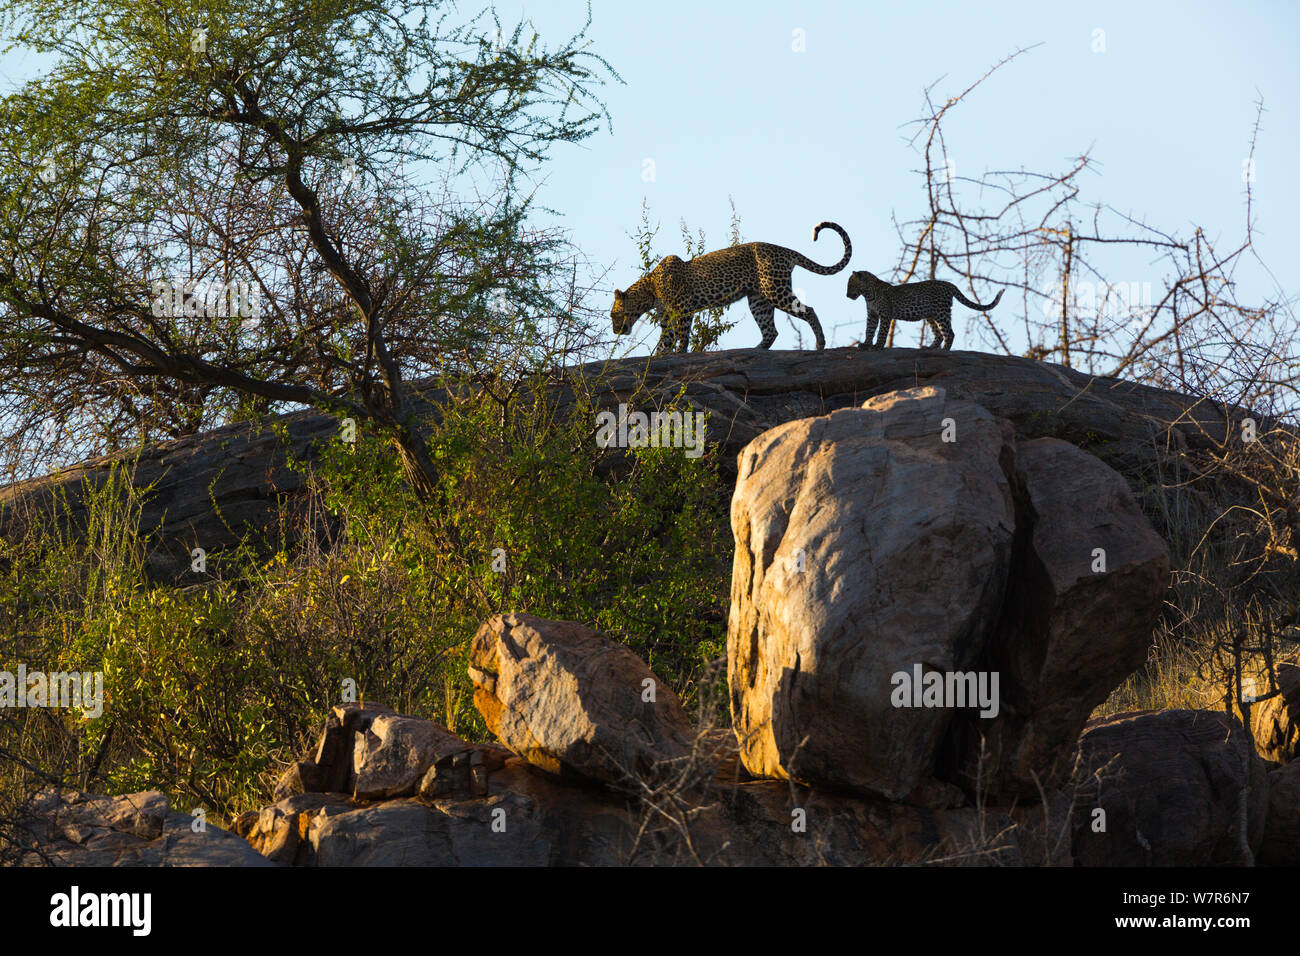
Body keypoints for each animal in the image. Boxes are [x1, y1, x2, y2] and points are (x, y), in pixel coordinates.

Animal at [611, 221, 852, 356]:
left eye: (614, 315)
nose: (615, 330)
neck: (650, 289)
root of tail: (784, 250)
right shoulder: (668, 317)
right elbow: (665, 340)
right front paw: (658, 357)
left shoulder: (683, 308)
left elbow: (682, 335)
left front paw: (680, 353)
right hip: (758, 300)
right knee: (771, 330)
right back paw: (756, 350)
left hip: (775, 289)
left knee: (808, 310)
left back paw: (820, 344)